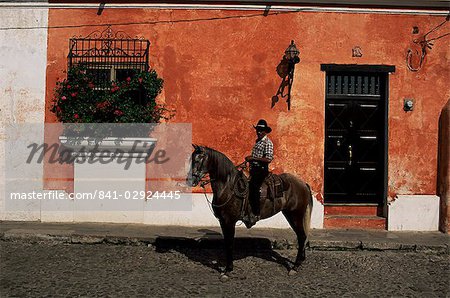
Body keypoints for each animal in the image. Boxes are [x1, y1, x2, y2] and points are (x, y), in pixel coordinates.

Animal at [186, 146, 312, 278]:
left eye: (198, 160)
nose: (190, 180)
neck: (228, 187)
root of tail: (303, 184)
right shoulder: (222, 221)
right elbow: (226, 243)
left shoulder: (229, 221)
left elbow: (230, 244)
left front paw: (228, 270)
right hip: (289, 214)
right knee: (301, 237)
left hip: (296, 215)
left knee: (302, 236)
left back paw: (295, 266)